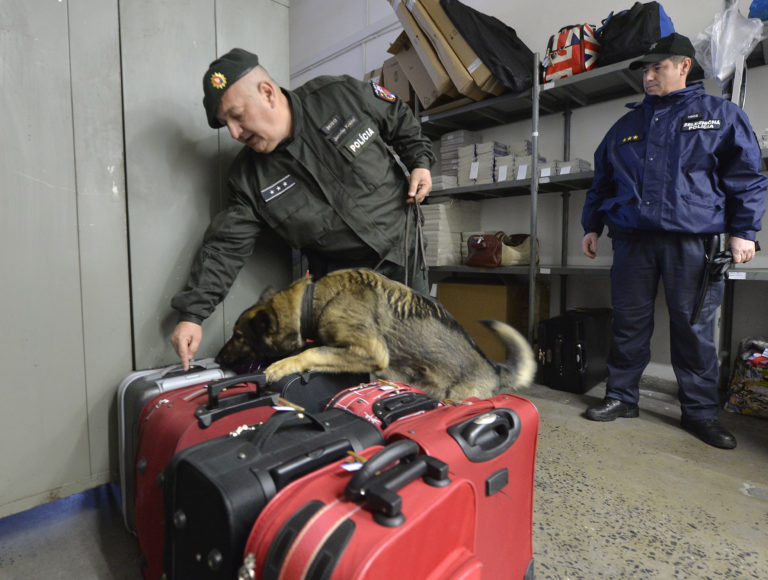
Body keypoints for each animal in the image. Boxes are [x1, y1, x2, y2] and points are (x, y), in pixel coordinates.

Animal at [216, 270, 536, 402]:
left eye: (238, 335)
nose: (218, 358)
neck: (314, 300)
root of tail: (494, 368)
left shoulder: (370, 352)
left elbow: (309, 352)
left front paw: (281, 366)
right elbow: (316, 349)